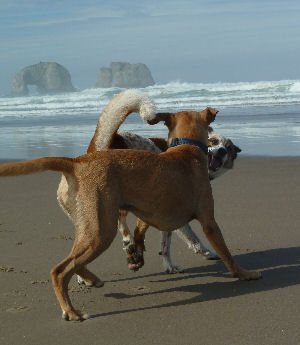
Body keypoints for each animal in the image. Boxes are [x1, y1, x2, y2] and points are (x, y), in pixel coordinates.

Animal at [0, 107, 258, 320]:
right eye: (214, 140)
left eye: (227, 147)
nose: (222, 151)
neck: (186, 147)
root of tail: (76, 162)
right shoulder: (209, 222)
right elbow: (225, 252)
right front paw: (243, 273)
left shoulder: (152, 213)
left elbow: (150, 237)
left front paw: (142, 254)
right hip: (101, 230)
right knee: (60, 270)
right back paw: (71, 311)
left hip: (90, 225)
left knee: (75, 261)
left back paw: (95, 279)